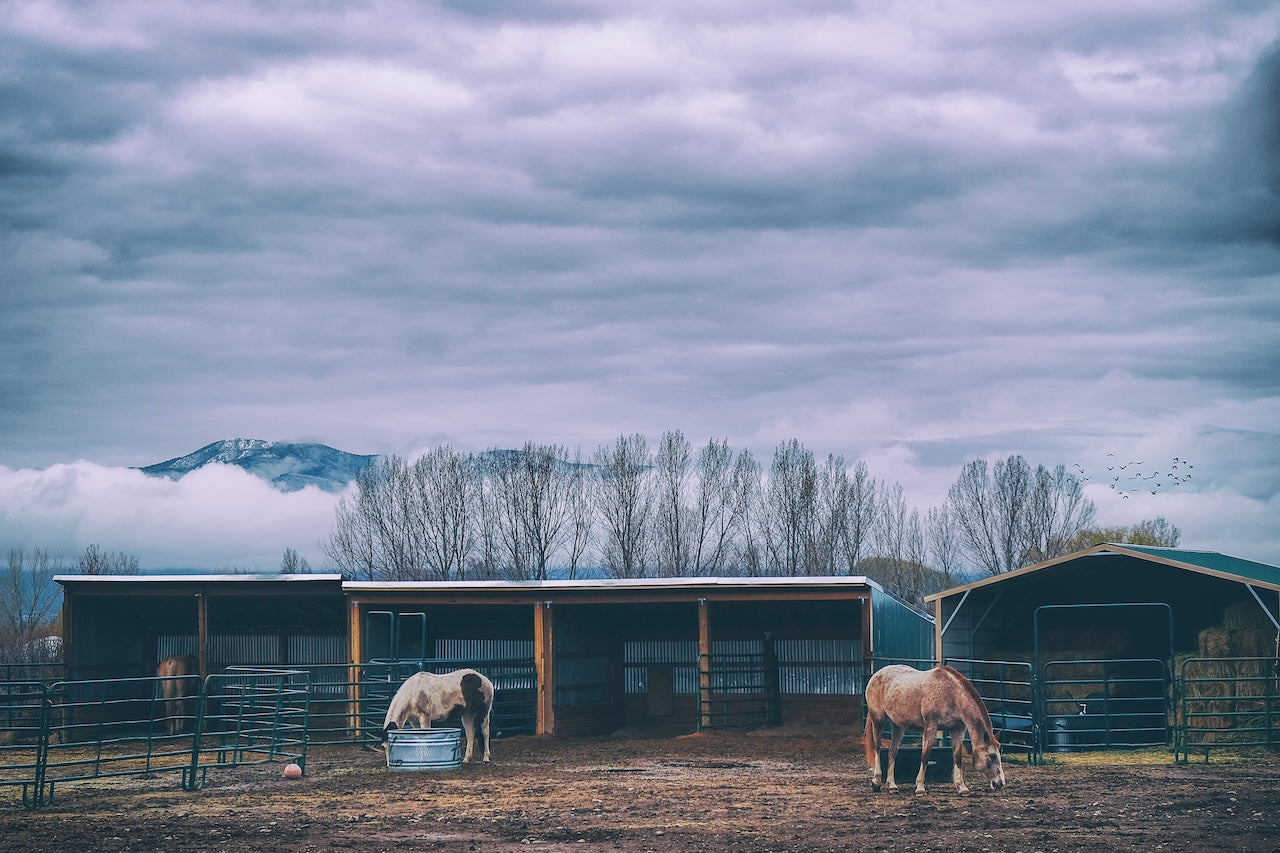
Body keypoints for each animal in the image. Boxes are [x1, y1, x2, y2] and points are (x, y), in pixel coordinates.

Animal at [865, 660, 1003, 794]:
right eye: (992, 756)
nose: (1001, 783)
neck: (951, 693)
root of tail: (876, 675)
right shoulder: (931, 725)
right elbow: (925, 755)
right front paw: (920, 787)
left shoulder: (958, 729)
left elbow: (957, 757)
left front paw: (962, 787)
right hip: (878, 719)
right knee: (877, 747)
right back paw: (876, 782)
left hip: (898, 726)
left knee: (892, 752)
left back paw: (892, 785)